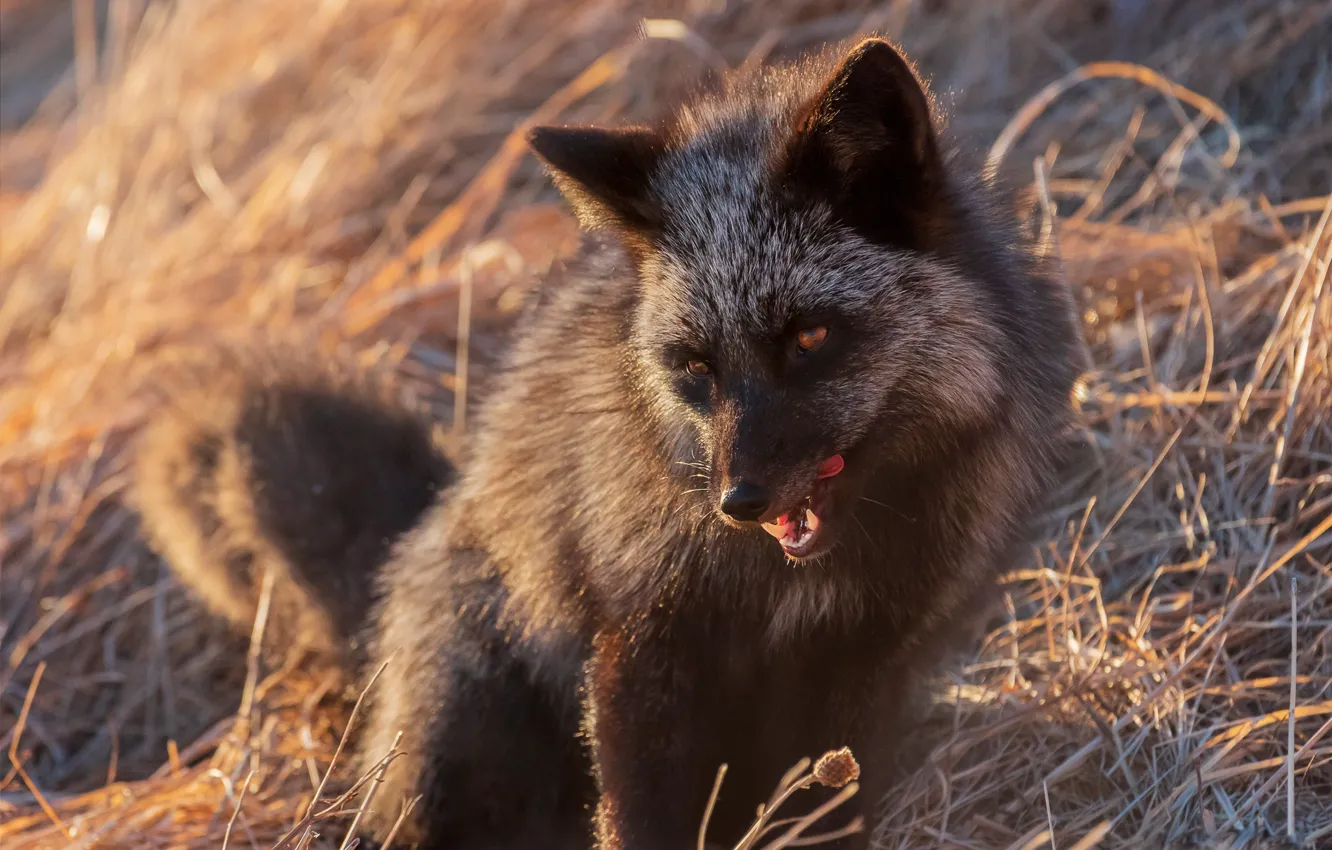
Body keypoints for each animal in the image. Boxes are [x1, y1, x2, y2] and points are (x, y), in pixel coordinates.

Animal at [132, 37, 1087, 849]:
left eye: (810, 338)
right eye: (695, 365)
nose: (740, 502)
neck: (784, 589)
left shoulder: (863, 665)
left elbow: (826, 809)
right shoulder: (641, 643)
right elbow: (639, 816)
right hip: (468, 745)